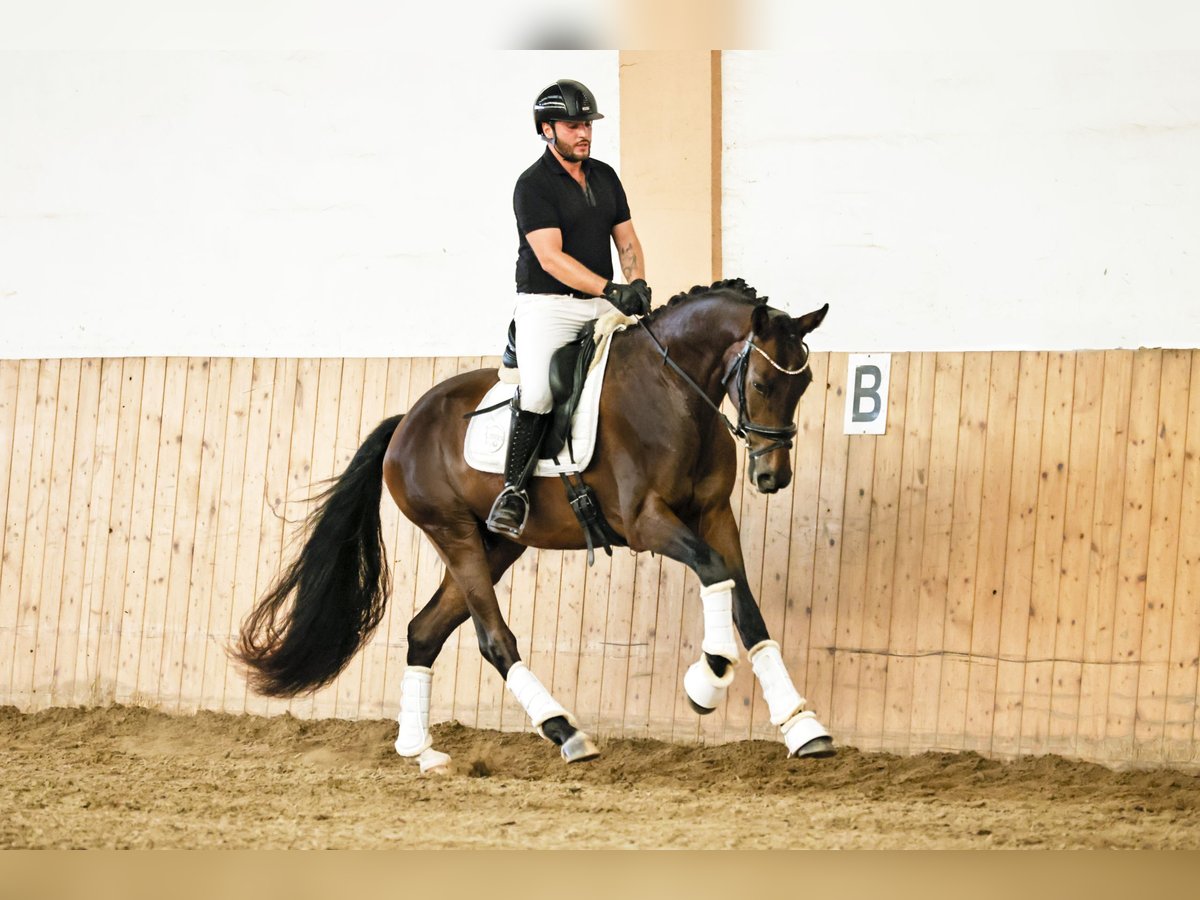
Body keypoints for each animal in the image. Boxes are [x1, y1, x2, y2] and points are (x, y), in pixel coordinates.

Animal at [234, 278, 835, 772]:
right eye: (762, 383)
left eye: (803, 383)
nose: (772, 476)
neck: (672, 390)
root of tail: (407, 421)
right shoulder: (647, 524)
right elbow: (713, 573)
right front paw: (708, 678)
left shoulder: (713, 516)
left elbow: (745, 606)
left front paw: (802, 726)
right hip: (455, 535)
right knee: (493, 638)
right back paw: (564, 731)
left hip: (499, 545)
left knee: (424, 631)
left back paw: (421, 750)